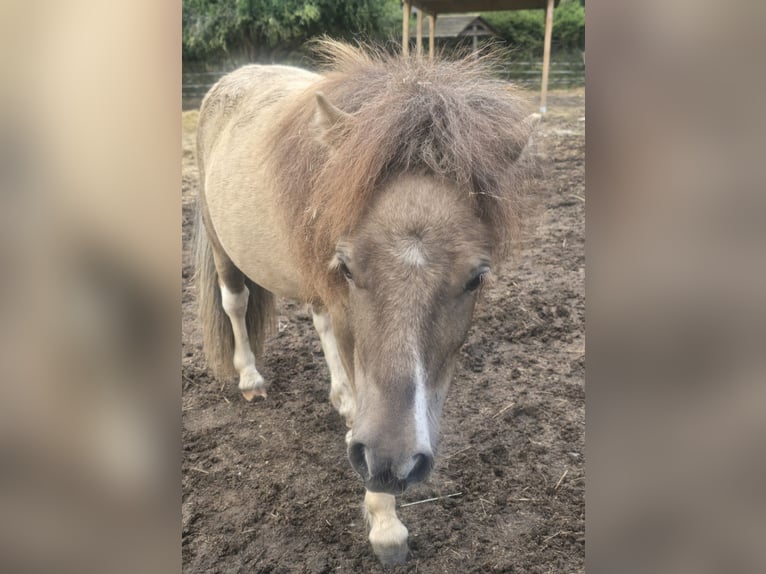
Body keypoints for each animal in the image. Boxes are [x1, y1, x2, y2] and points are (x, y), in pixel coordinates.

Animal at [194, 40, 539, 565]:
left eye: (477, 278)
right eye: (351, 267)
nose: (393, 466)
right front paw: (385, 523)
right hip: (222, 248)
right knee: (235, 303)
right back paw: (251, 379)